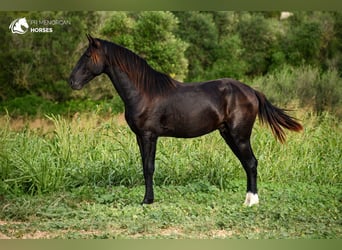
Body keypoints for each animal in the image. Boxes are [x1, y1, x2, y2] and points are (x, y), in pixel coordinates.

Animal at [69, 35, 302, 207]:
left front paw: (147, 201)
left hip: (240, 135)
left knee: (252, 163)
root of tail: (252, 91)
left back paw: (251, 202)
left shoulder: (149, 136)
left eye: (87, 55)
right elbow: (144, 166)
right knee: (247, 163)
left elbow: (149, 167)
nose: (71, 81)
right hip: (228, 134)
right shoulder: (140, 137)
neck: (144, 92)